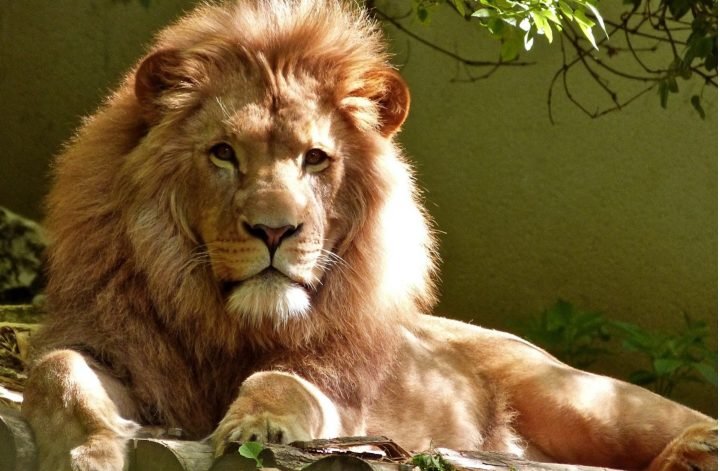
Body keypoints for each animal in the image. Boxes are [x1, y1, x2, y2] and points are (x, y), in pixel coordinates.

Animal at [22, 1, 716, 470]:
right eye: (223, 153)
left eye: (315, 159)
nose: (275, 230)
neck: (228, 324)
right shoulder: (116, 349)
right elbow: (57, 372)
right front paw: (87, 454)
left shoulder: (340, 396)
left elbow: (282, 383)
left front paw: (258, 428)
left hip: (582, 398)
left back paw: (696, 449)